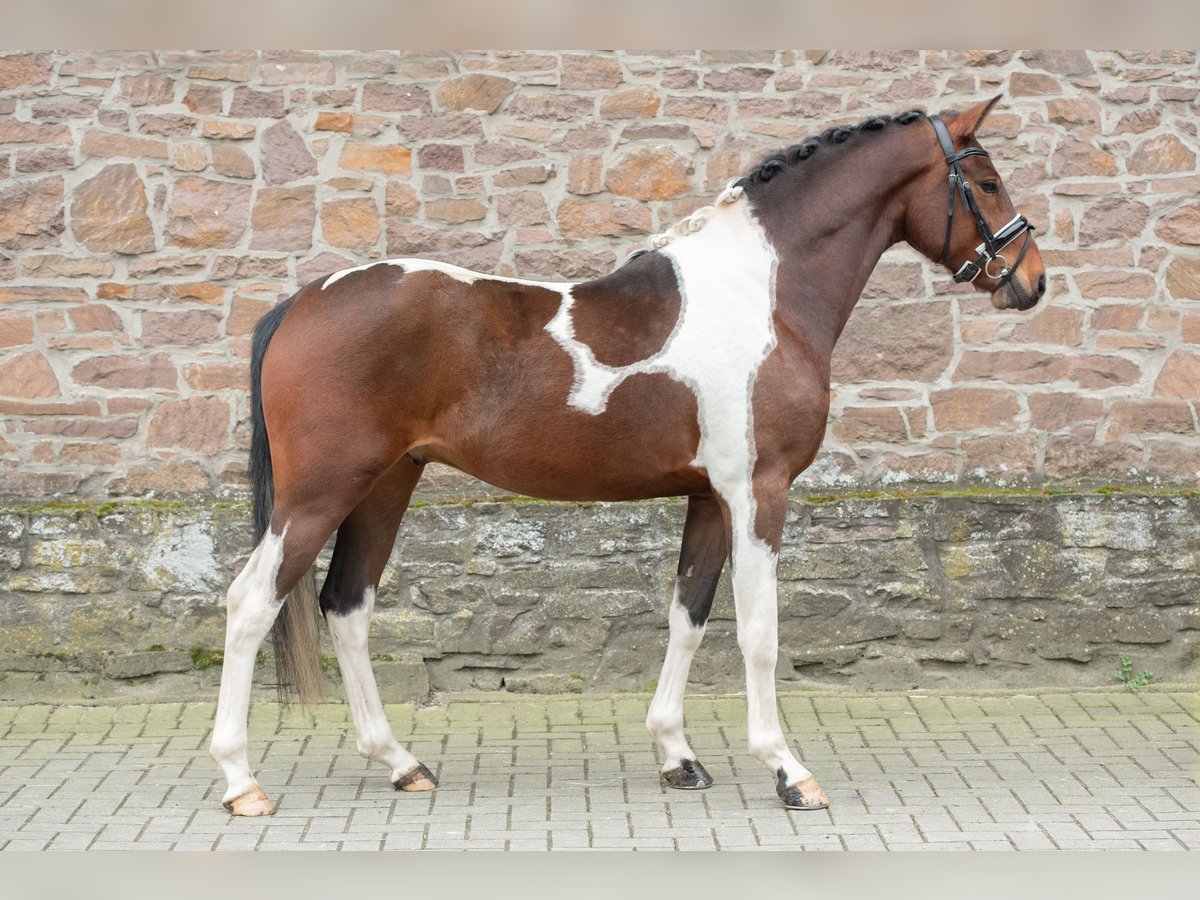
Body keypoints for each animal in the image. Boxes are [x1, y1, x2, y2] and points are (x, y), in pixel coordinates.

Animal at [211, 97, 1046, 816]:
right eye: (986, 181)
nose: (1031, 282)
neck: (761, 293)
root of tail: (304, 300)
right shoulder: (759, 490)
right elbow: (760, 631)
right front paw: (788, 771)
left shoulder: (709, 495)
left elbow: (689, 616)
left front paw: (678, 755)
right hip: (320, 493)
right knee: (252, 602)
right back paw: (241, 783)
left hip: (386, 484)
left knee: (347, 605)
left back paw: (401, 763)